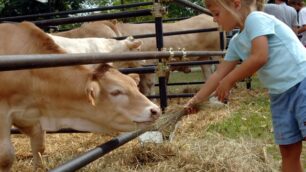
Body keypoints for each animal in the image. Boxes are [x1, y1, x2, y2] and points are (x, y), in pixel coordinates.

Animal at [0, 21, 163, 171]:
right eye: (116, 92)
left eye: (134, 86)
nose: (155, 110)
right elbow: (6, 157)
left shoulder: (31, 117)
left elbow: (39, 148)